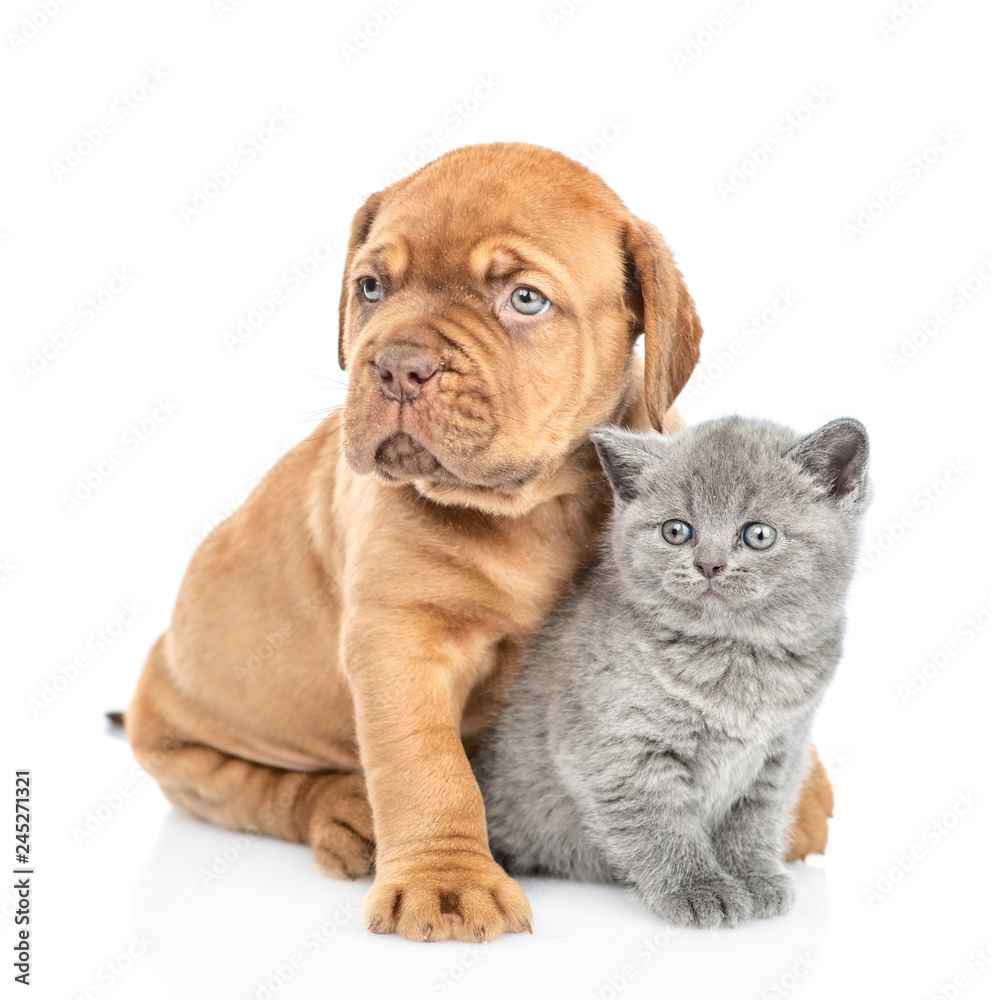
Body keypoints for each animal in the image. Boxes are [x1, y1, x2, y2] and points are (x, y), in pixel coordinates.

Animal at [472, 414, 868, 928]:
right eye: (676, 531)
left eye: (759, 535)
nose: (709, 565)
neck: (735, 660)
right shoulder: (618, 749)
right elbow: (660, 827)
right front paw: (699, 890)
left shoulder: (781, 753)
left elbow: (755, 820)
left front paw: (755, 877)